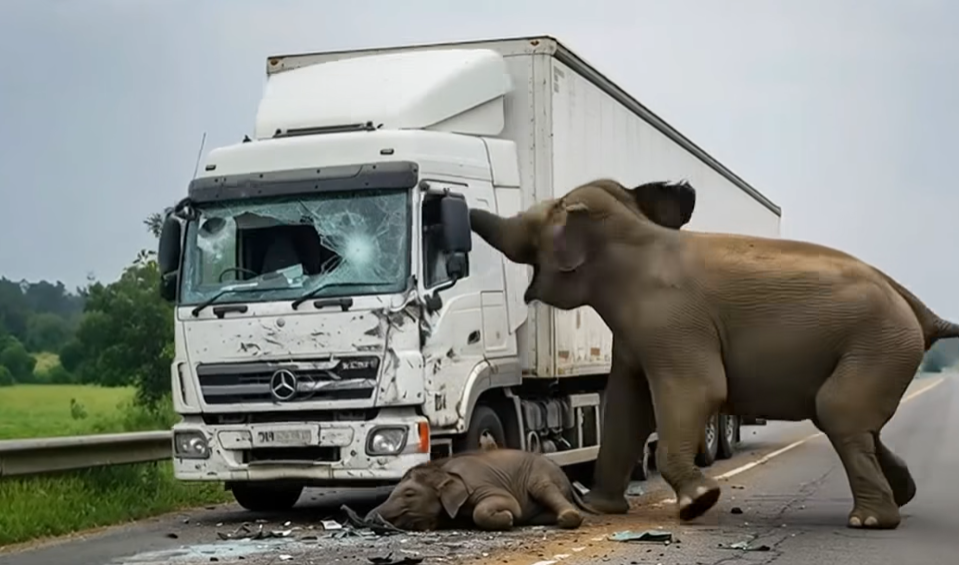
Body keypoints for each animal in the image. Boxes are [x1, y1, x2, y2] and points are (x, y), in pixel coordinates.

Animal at [365, 448, 596, 531]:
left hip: (539, 475)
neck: (442, 467)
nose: (368, 519)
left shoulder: (477, 484)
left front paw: (508, 518)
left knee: (541, 488)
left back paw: (567, 518)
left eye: (409, 494)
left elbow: (510, 504)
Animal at [468, 178, 959, 530]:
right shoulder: (635, 333)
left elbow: (697, 391)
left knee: (838, 413)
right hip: (883, 349)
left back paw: (870, 521)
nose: (458, 205)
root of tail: (919, 309)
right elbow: (627, 407)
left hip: (878, 344)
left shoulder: (672, 320)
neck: (639, 234)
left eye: (536, 221)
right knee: (852, 423)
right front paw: (599, 509)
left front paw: (698, 504)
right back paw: (902, 495)